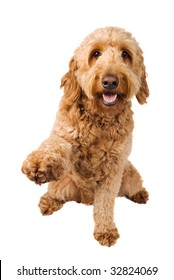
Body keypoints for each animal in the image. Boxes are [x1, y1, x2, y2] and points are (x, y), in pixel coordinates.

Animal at [21, 25, 150, 245]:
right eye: (95, 54)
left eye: (125, 54)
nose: (110, 81)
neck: (100, 117)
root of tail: (86, 199)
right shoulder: (65, 136)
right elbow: (53, 144)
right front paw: (38, 163)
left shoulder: (114, 166)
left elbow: (105, 202)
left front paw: (105, 230)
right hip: (63, 181)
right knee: (55, 190)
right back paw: (48, 201)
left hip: (130, 176)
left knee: (131, 186)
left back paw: (140, 194)